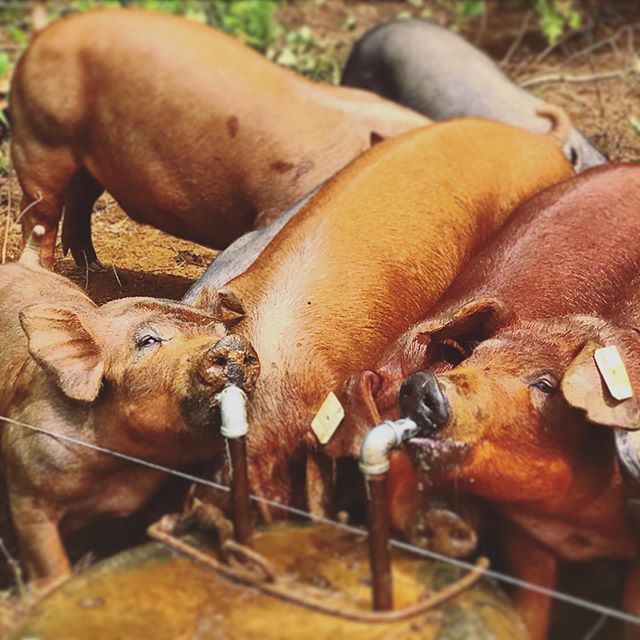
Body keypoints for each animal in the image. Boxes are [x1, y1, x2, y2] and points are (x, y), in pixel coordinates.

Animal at [0, 226, 260, 580]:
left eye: (220, 330)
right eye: (148, 341)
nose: (232, 343)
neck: (121, 463)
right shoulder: (28, 488)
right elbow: (50, 562)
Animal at [7, 8, 430, 268]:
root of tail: (42, 36)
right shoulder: (277, 207)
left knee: (80, 197)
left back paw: (91, 264)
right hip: (41, 138)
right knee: (40, 212)